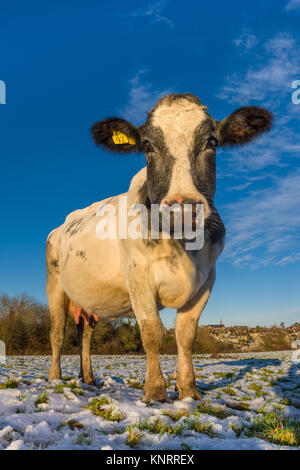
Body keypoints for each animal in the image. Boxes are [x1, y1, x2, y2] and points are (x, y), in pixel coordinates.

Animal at [46, 94, 272, 400]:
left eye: (212, 141)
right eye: (147, 145)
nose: (183, 208)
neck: (182, 245)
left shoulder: (206, 280)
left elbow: (186, 335)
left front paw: (188, 391)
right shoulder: (138, 278)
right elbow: (152, 333)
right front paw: (154, 391)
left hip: (89, 300)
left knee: (85, 334)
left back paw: (88, 378)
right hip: (55, 284)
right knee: (58, 333)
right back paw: (55, 379)